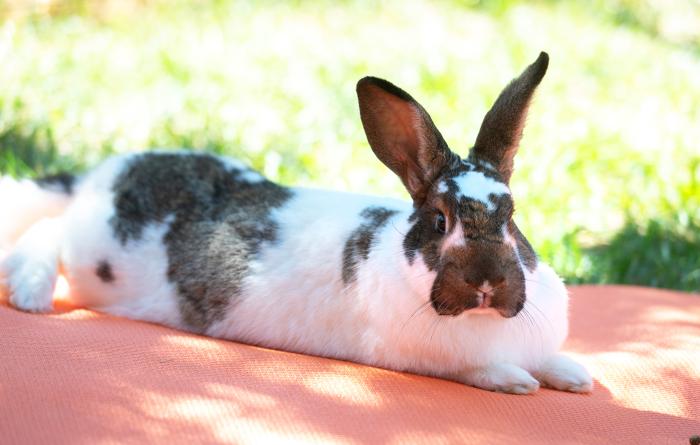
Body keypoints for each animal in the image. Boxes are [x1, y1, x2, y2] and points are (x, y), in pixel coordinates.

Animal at [0, 52, 592, 395]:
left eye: (512, 216)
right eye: (439, 219)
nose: (488, 283)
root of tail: (107, 173)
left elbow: (550, 360)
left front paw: (573, 374)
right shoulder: (421, 356)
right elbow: (481, 370)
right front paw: (517, 381)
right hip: (92, 249)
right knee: (48, 232)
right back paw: (31, 291)